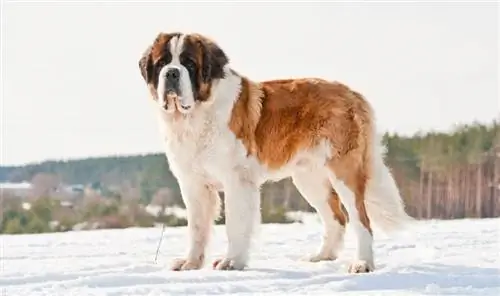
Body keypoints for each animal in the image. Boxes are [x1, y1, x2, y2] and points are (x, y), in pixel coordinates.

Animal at [139, 31, 412, 272]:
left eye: (189, 63)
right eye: (162, 63)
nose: (172, 73)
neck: (194, 115)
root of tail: (353, 94)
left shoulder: (236, 180)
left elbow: (235, 224)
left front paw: (231, 262)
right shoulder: (193, 184)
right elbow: (196, 228)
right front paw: (190, 264)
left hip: (344, 172)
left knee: (360, 220)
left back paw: (362, 264)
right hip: (309, 179)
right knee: (336, 217)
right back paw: (322, 257)